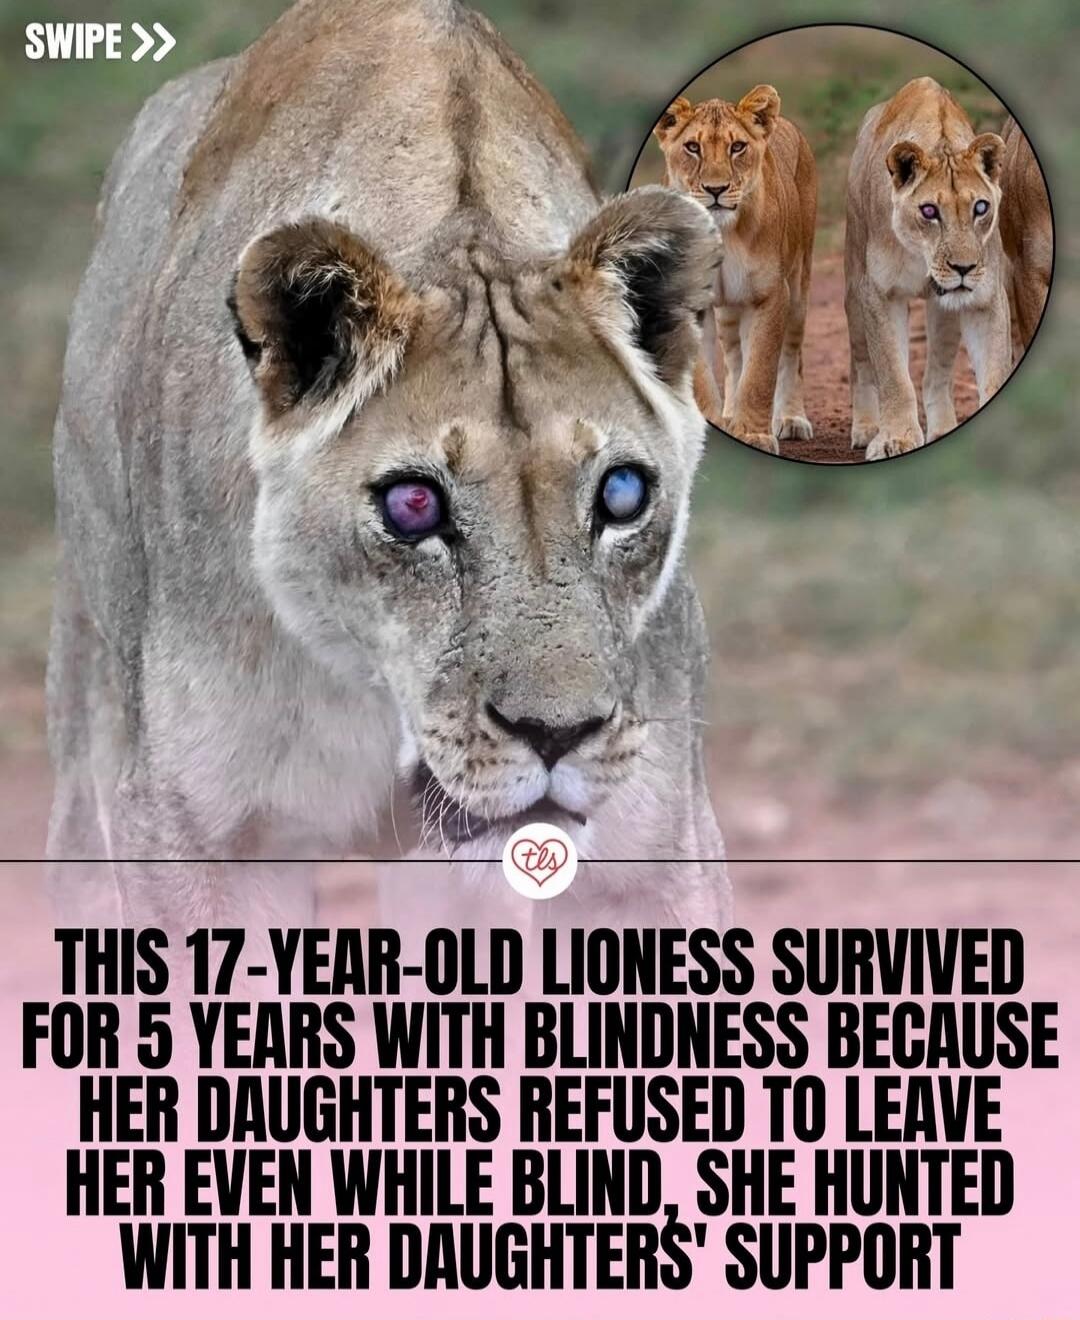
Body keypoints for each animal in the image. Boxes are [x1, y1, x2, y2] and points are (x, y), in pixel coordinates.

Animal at [654, 85, 817, 454]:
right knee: (732, 356)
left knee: (792, 355)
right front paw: (717, 420)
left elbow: (760, 372)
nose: (715, 190)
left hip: (799, 287)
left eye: (737, 147)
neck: (724, 234)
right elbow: (703, 377)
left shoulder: (771, 295)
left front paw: (754, 434)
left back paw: (790, 419)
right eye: (693, 147)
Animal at [845, 77, 1011, 460]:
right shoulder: (879, 294)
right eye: (929, 211)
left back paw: (943, 428)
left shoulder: (986, 299)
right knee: (862, 366)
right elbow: (893, 375)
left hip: (943, 312)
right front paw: (896, 438)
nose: (964, 267)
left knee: (936, 374)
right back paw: (866, 428)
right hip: (853, 289)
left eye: (981, 208)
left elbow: (993, 370)